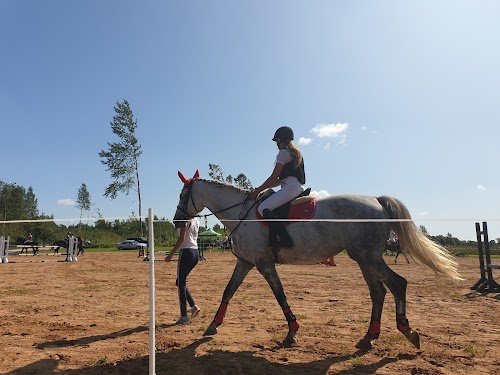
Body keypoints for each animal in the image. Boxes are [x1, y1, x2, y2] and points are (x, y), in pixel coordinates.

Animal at [174, 173, 462, 350]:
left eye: (181, 195)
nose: (177, 220)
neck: (241, 214)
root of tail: (377, 200)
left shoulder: (264, 264)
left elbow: (280, 295)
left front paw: (292, 331)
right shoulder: (246, 263)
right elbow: (228, 291)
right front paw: (213, 325)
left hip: (368, 257)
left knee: (397, 284)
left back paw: (407, 331)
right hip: (365, 259)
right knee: (378, 292)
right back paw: (369, 336)